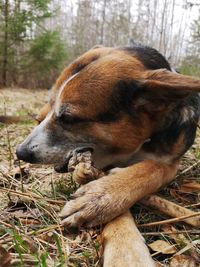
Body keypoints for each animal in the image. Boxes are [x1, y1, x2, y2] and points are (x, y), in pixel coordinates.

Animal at [16, 45, 200, 266]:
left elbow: (152, 168)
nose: (20, 152)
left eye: (68, 118)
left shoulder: (170, 163)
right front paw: (124, 247)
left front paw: (102, 195)